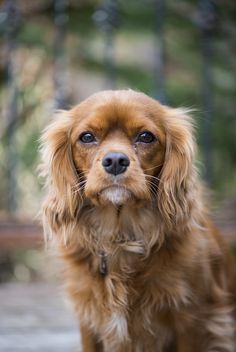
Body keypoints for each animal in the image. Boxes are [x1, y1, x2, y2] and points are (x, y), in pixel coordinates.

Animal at [40, 89, 236, 350]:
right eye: (87, 137)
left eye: (145, 137)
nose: (115, 161)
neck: (120, 236)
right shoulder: (89, 322)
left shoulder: (193, 320)